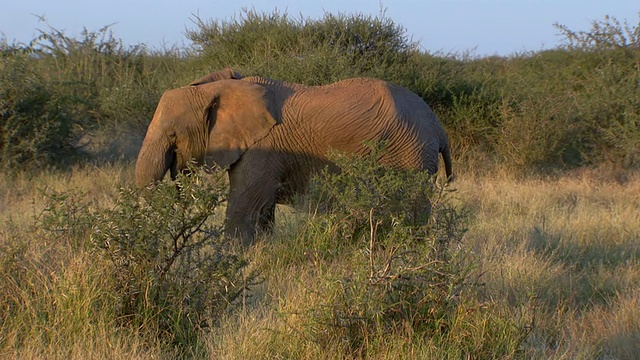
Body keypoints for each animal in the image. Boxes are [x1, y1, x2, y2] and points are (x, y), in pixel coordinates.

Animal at [136, 68, 456, 242]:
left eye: (172, 135)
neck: (227, 87)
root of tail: (438, 127)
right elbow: (262, 214)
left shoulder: (264, 149)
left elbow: (244, 212)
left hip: (410, 154)